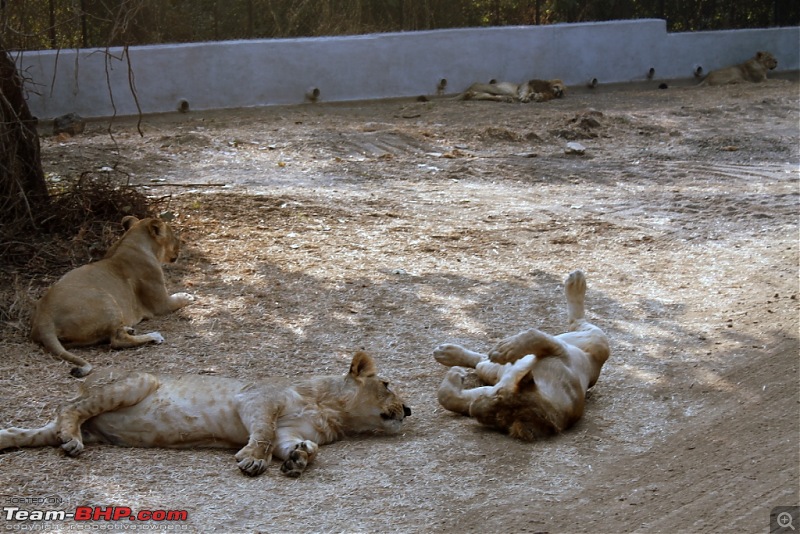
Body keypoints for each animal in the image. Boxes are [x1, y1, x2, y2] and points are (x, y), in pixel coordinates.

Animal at [0, 354, 410, 480]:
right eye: (387, 384)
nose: (408, 409)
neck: (331, 409)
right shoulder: (257, 400)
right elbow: (261, 433)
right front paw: (253, 460)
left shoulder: (289, 431)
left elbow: (304, 446)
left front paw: (297, 460)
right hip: (135, 381)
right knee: (68, 408)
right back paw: (71, 440)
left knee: (42, 430)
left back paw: (9, 437)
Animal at [30, 216, 195, 378]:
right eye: (174, 235)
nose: (181, 245)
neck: (131, 241)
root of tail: (44, 317)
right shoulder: (161, 303)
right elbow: (178, 300)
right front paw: (188, 296)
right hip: (106, 299)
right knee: (117, 341)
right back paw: (153, 336)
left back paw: (129, 329)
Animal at [434, 272, 608, 444]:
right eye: (498, 394)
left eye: (497, 420)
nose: (473, 408)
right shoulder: (559, 351)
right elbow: (533, 335)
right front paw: (504, 350)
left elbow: (448, 399)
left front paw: (455, 375)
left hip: (599, 343)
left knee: (577, 321)